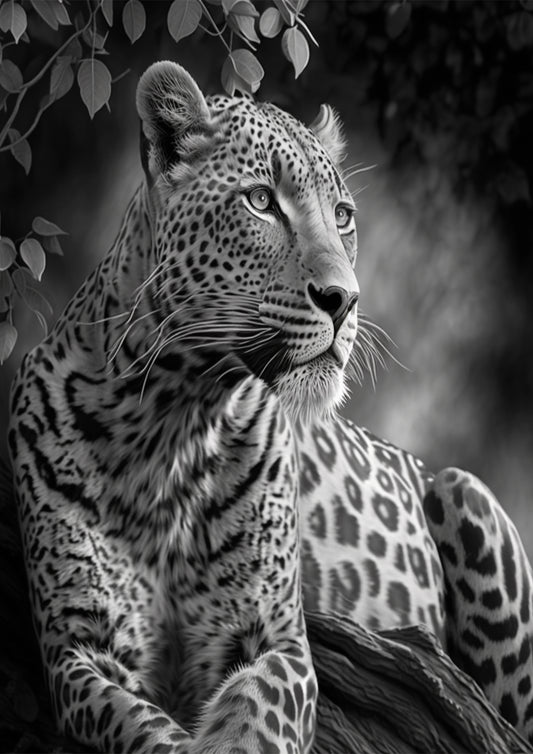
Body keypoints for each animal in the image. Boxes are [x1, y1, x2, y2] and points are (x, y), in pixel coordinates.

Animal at [7, 60, 533, 752]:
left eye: (343, 215)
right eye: (261, 201)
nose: (345, 299)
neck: (170, 422)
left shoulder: (278, 641)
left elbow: (252, 721)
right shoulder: (77, 652)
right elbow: (147, 731)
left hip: (465, 493)